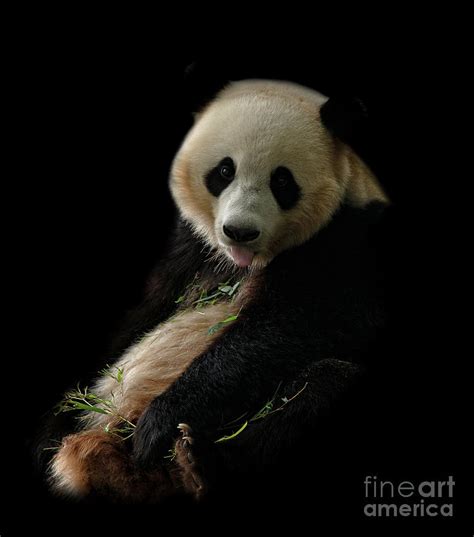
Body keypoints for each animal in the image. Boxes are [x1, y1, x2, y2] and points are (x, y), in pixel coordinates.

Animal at [42, 78, 386, 502]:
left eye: (282, 180)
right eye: (224, 170)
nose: (239, 231)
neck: (244, 262)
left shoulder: (344, 247)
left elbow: (284, 329)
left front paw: (159, 422)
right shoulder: (188, 250)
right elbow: (143, 314)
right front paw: (54, 422)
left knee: (322, 386)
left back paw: (200, 462)